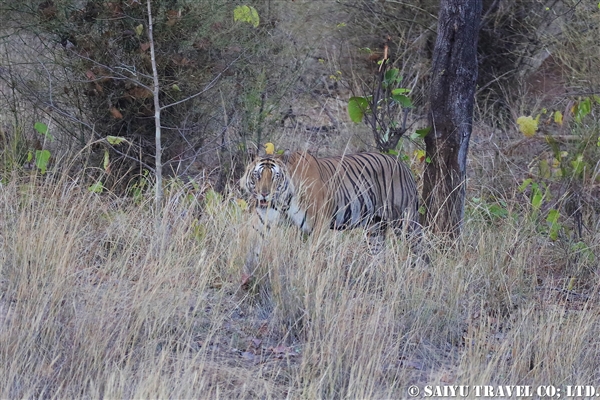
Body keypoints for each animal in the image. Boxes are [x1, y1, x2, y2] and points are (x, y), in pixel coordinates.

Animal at [240, 148, 422, 268]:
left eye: (275, 177)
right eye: (257, 175)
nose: (264, 194)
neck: (283, 200)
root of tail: (403, 165)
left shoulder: (319, 224)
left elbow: (312, 254)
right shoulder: (263, 221)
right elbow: (254, 244)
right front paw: (249, 270)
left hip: (405, 222)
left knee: (419, 247)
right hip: (375, 226)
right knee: (379, 254)